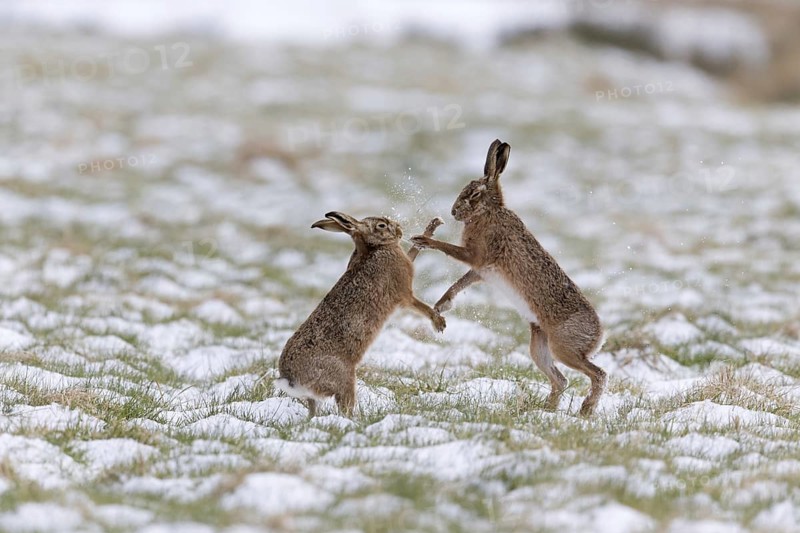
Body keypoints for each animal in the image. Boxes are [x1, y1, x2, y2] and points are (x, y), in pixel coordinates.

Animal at [276, 212, 446, 417]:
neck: (374, 249)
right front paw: (439, 323)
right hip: (345, 379)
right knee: (345, 407)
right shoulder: (404, 293)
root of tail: (291, 380)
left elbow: (413, 252)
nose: (399, 230)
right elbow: (419, 304)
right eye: (382, 225)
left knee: (313, 408)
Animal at [411, 140, 606, 416]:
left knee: (598, 374)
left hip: (564, 348)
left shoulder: (476, 255)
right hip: (539, 346)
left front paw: (422, 240)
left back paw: (585, 410)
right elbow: (458, 284)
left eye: (474, 194)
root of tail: (600, 335)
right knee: (560, 379)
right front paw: (440, 306)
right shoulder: (480, 270)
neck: (488, 212)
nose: (453, 212)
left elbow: (449, 249)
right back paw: (545, 412)